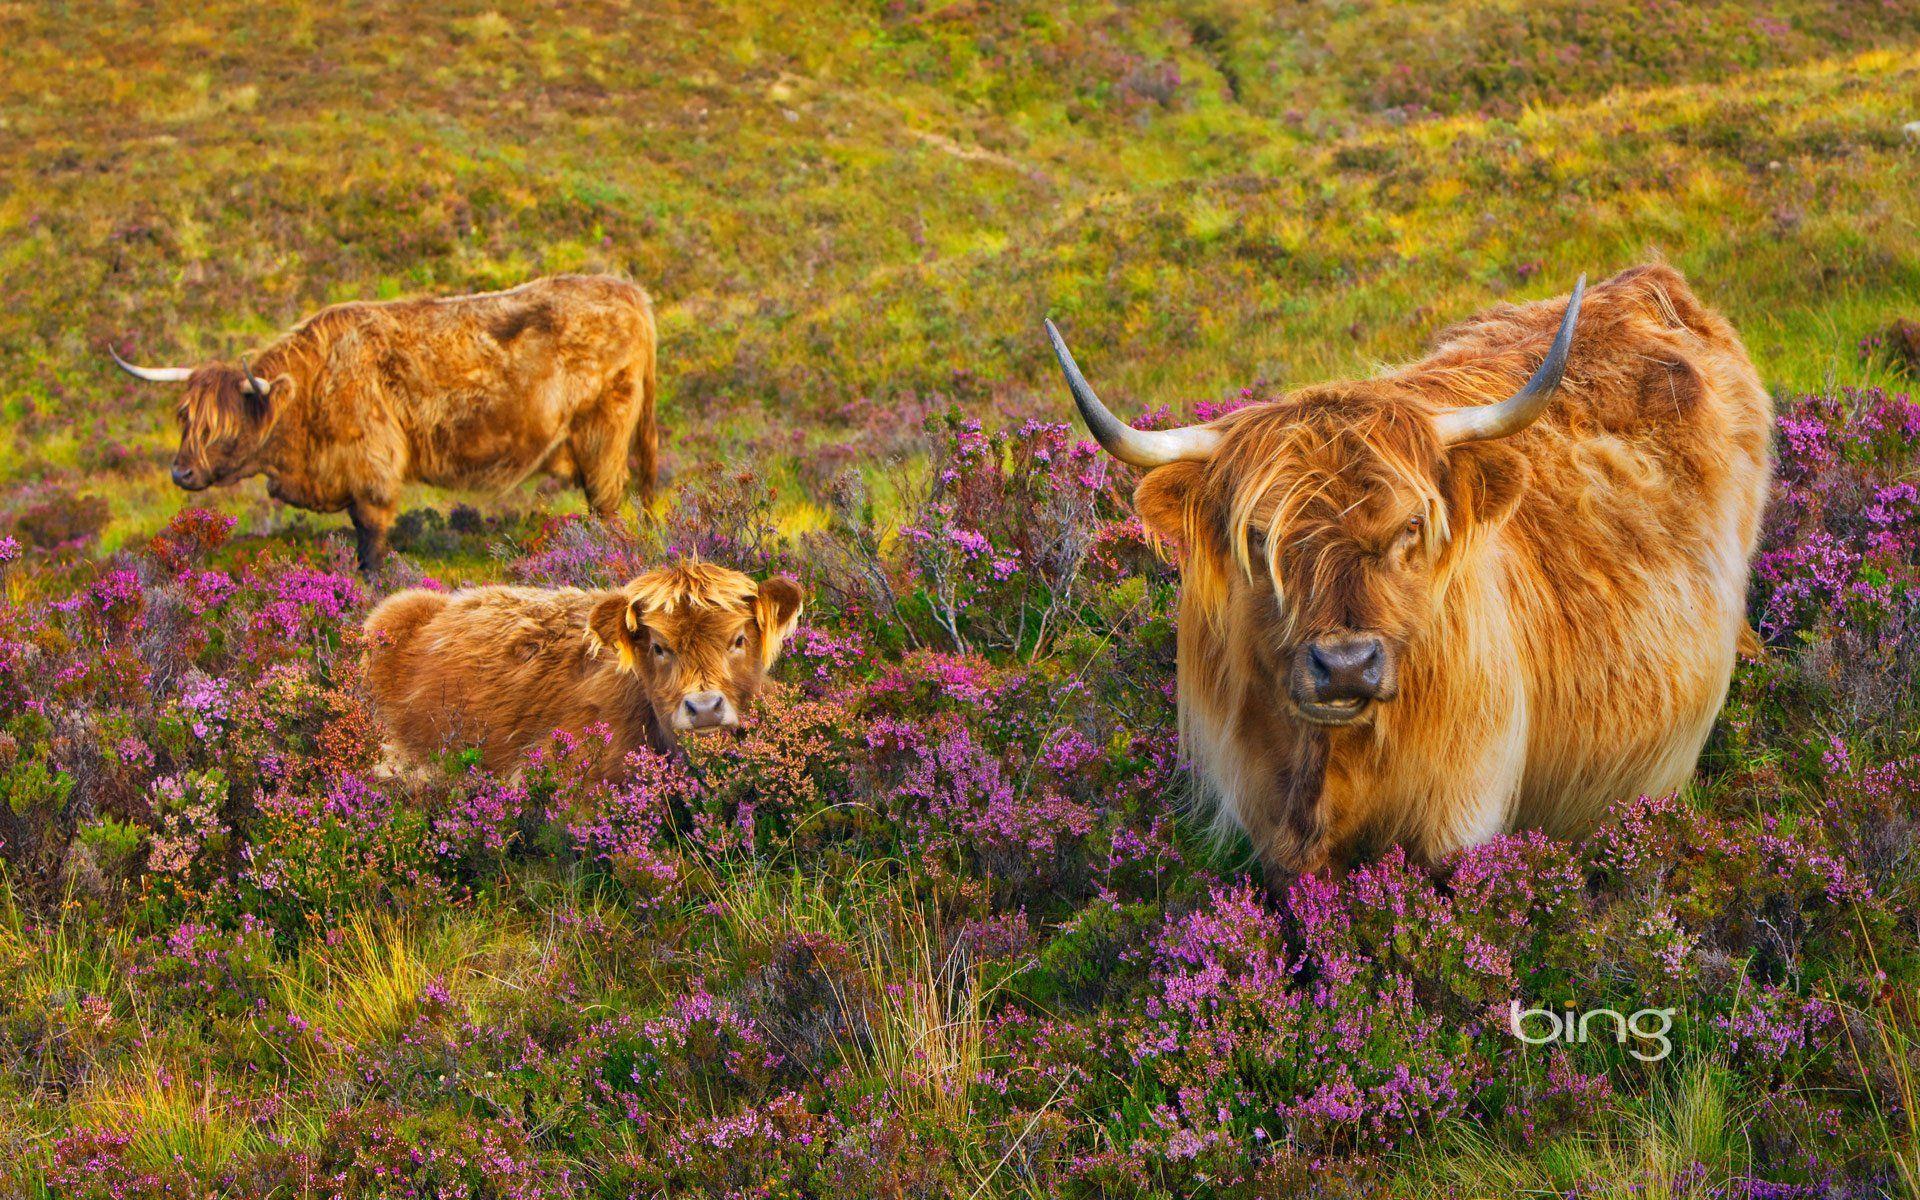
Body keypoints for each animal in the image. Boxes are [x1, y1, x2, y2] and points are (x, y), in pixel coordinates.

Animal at [110, 274, 659, 572]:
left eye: (220, 427)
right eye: (185, 419)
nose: (180, 472)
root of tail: (629, 291)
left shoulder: (370, 464)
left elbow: (370, 538)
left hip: (603, 433)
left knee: (608, 505)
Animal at [1045, 264, 1772, 892]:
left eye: (1411, 529)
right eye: (1258, 537)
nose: (1344, 666)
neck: (1328, 769)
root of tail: (1649, 281)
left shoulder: (1461, 820)